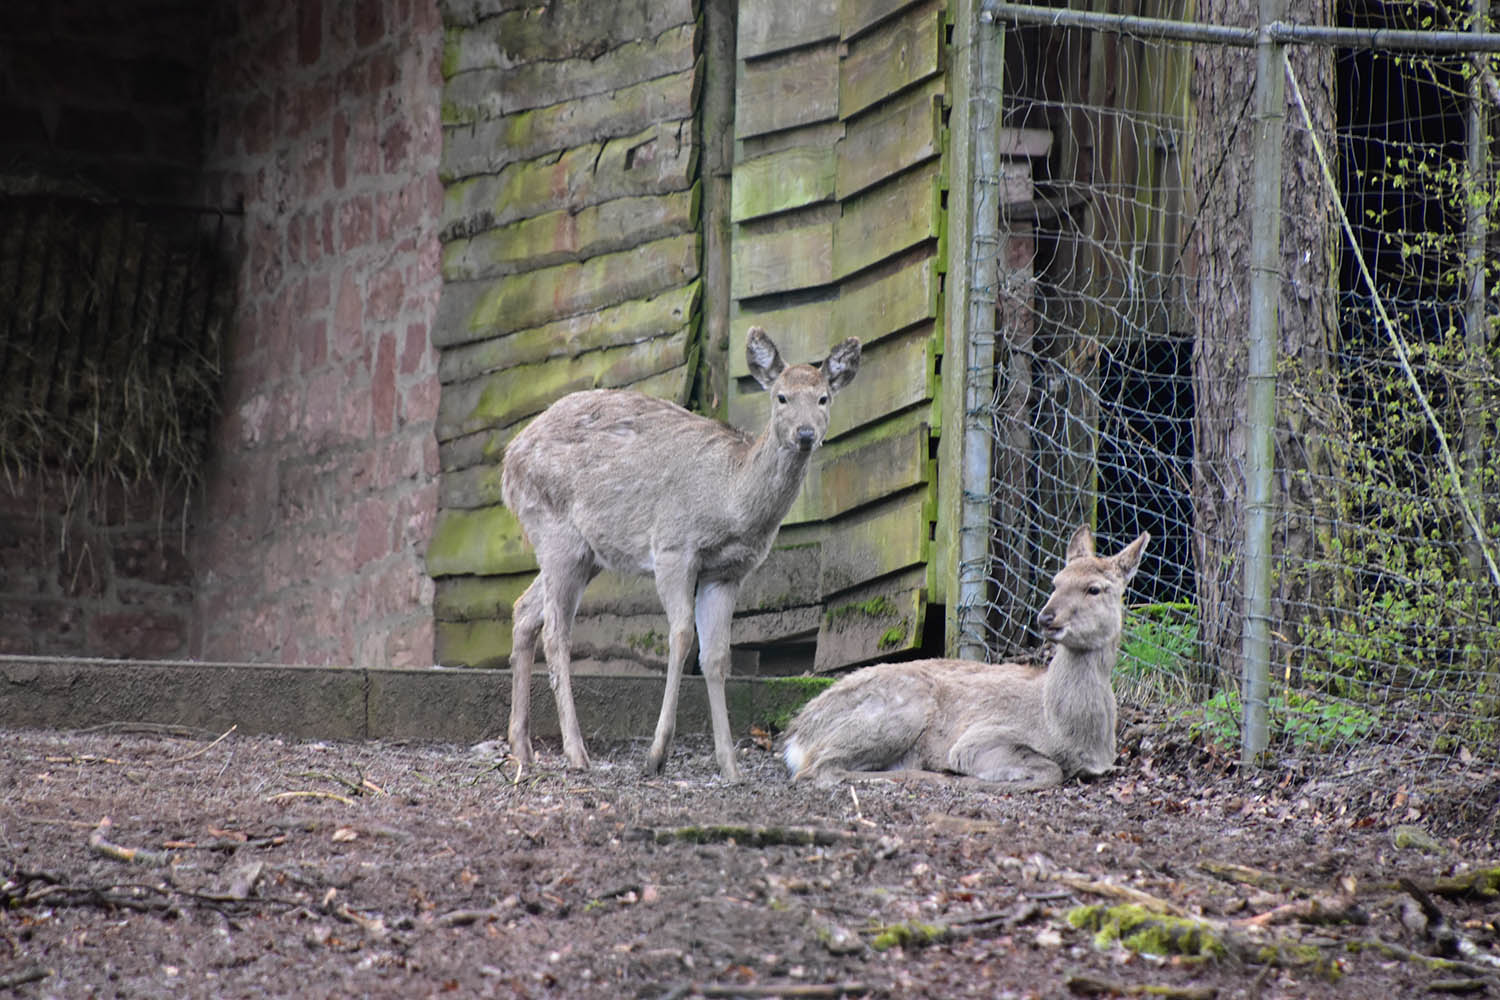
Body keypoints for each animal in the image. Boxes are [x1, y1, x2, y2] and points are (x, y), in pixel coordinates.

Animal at [500, 326, 861, 781]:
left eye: (823, 398)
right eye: (781, 397)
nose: (806, 434)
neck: (731, 501)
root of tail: (508, 460)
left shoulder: (727, 573)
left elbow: (718, 656)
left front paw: (730, 767)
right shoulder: (674, 547)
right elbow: (682, 635)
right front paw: (657, 755)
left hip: (585, 553)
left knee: (524, 610)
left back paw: (522, 748)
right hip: (555, 530)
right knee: (555, 632)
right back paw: (576, 753)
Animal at [780, 525, 1149, 789]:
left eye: (1094, 588)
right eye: (1056, 582)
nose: (1046, 617)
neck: (1063, 729)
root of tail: (797, 737)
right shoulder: (979, 736)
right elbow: (1050, 770)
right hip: (898, 712)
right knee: (819, 769)